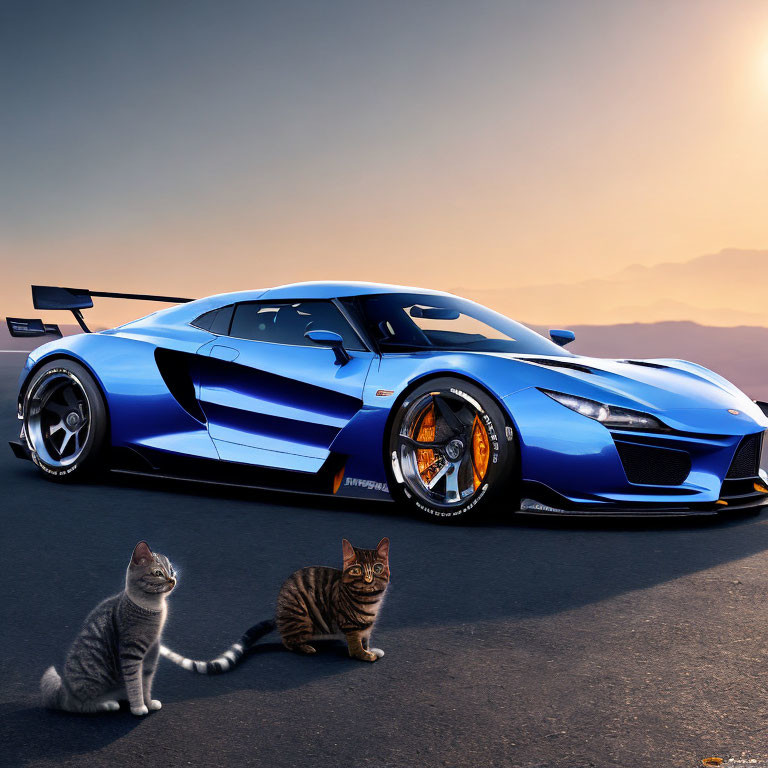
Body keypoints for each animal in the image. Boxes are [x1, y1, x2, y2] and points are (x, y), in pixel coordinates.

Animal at [40, 540, 177, 712]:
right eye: (158, 573)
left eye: (171, 570)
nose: (172, 579)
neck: (154, 607)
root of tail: (64, 691)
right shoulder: (130, 653)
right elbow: (135, 684)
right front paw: (138, 707)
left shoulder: (151, 655)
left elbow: (146, 684)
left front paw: (149, 702)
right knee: (82, 705)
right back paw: (108, 703)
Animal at [161, 536, 390, 676]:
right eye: (357, 570)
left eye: (378, 568)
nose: (369, 579)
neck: (370, 601)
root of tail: (278, 615)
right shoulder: (349, 625)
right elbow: (355, 646)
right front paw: (364, 655)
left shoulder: (366, 626)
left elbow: (366, 639)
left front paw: (370, 649)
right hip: (302, 616)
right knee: (289, 642)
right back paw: (306, 647)